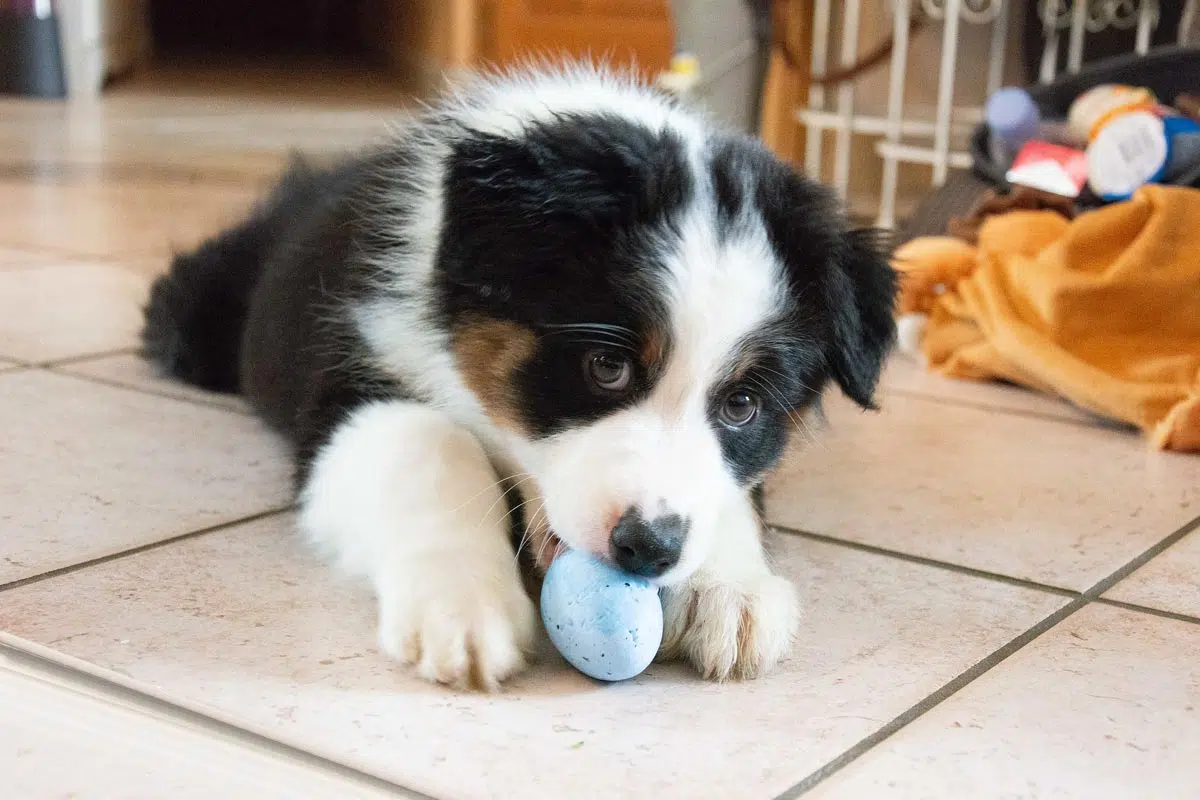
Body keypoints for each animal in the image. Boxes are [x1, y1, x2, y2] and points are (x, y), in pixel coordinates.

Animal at [142, 62, 892, 690]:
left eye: (741, 404)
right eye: (606, 366)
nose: (649, 550)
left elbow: (734, 489)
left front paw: (727, 590)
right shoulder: (353, 374)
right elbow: (428, 443)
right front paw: (461, 603)